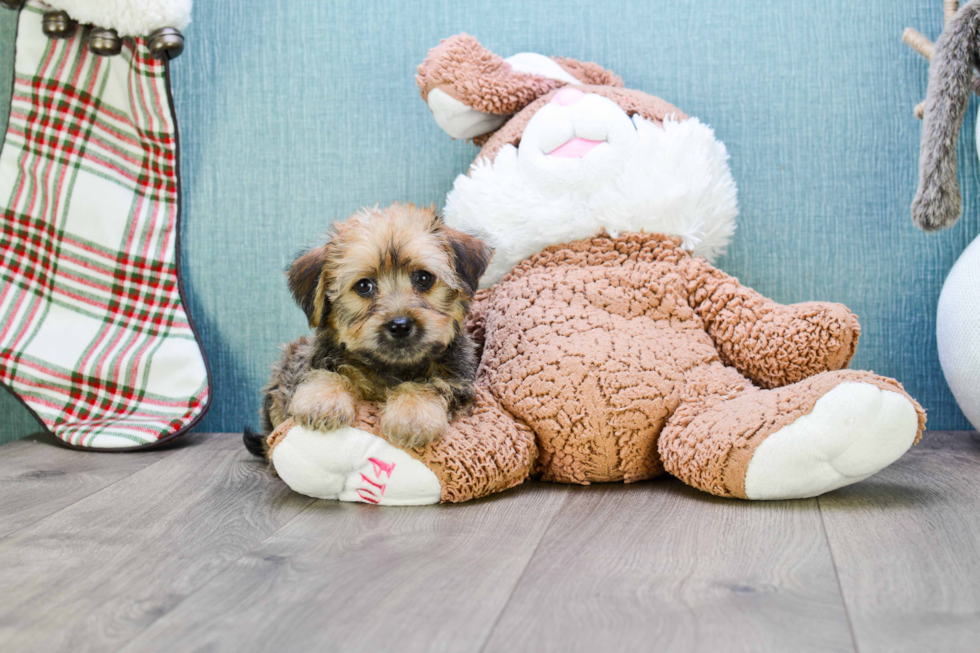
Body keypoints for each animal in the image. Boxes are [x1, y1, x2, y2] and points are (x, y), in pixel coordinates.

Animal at [245, 204, 490, 454]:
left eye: (424, 278)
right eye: (364, 286)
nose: (400, 325)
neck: (390, 368)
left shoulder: (458, 383)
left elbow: (432, 385)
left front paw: (413, 414)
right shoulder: (310, 361)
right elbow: (325, 371)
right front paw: (322, 398)